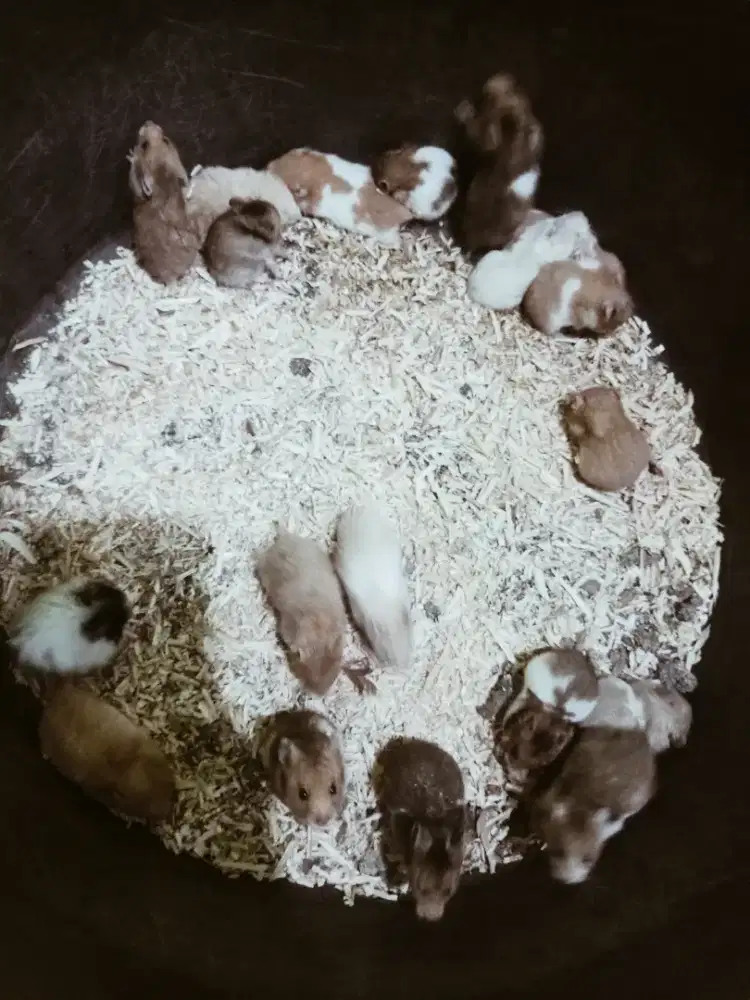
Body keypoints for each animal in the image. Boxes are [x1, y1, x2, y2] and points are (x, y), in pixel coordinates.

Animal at [128, 121, 203, 284]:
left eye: (144, 145)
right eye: (166, 139)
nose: (148, 122)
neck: (161, 170)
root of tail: (170, 280)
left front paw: (131, 155)